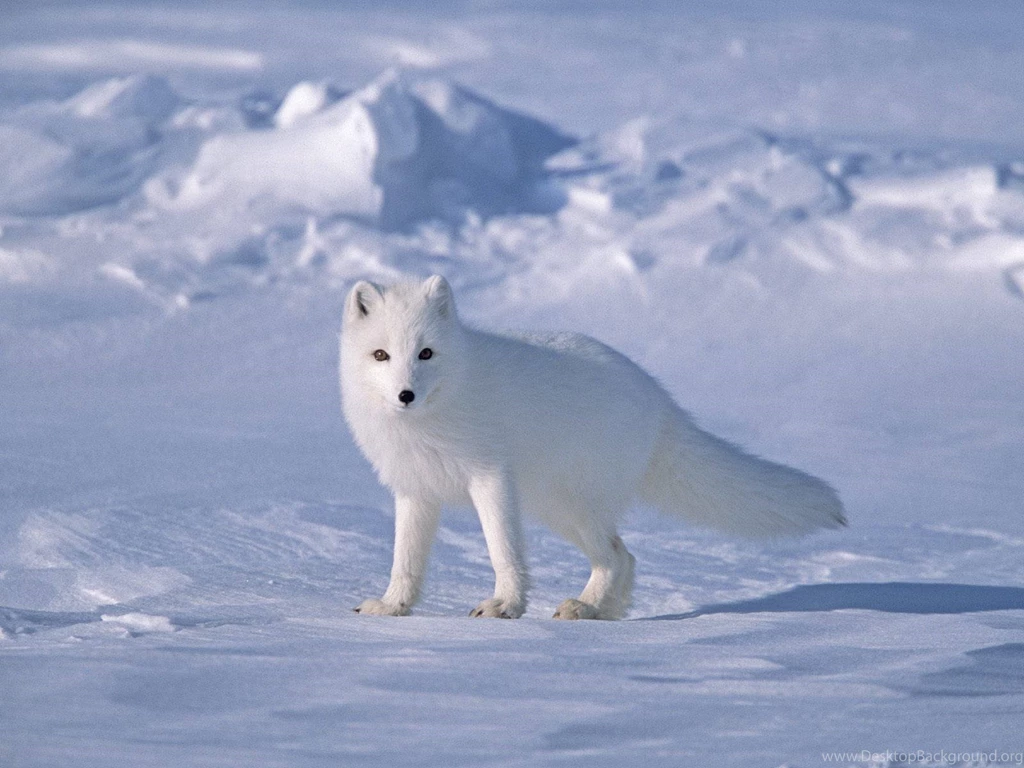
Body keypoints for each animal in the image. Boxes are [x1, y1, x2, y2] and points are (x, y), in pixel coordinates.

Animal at [340, 275, 846, 620]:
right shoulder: (415, 490)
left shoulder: (490, 478)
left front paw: (505, 606)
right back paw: (603, 611)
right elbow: (405, 560)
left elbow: (503, 550)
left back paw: (585, 608)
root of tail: (659, 399)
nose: (405, 395)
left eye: (426, 353)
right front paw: (392, 607)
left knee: (618, 555)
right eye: (381, 355)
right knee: (626, 556)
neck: (432, 417)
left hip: (570, 506)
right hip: (557, 508)